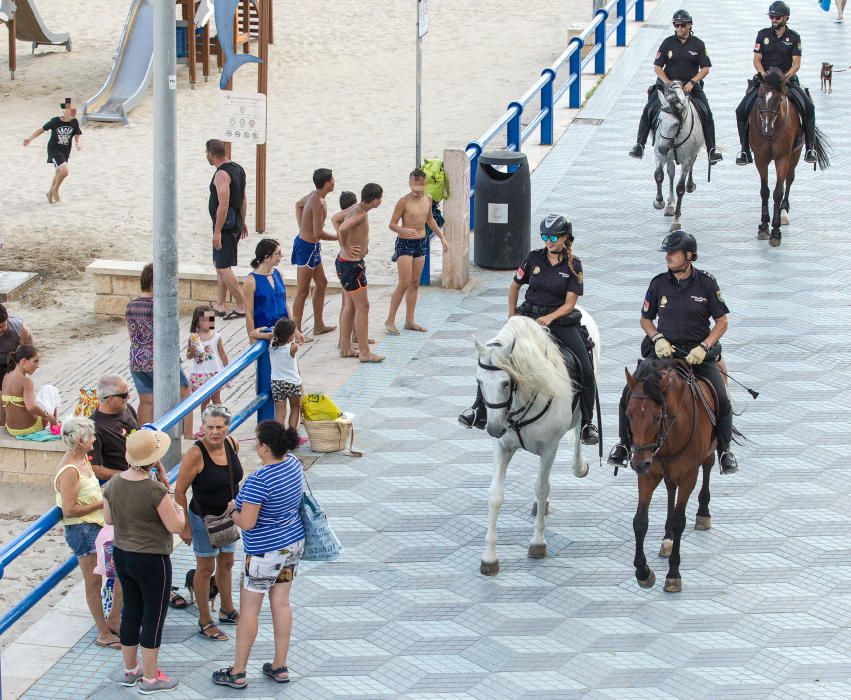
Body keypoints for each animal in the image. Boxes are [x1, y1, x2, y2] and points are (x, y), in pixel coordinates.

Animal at [476, 312, 604, 576]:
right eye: (480, 382)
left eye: (505, 383)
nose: (493, 428)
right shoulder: (502, 447)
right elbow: (495, 495)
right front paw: (490, 558)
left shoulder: (549, 448)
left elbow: (542, 487)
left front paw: (537, 543)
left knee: (579, 428)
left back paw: (581, 461)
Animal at [624, 358, 720, 592]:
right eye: (628, 414)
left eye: (657, 416)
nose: (638, 463)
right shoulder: (648, 474)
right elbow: (640, 521)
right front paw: (643, 572)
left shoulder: (688, 476)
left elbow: (679, 521)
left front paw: (673, 574)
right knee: (669, 488)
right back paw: (667, 538)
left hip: (708, 453)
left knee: (708, 466)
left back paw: (703, 513)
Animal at [652, 79, 704, 232]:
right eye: (660, 119)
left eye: (675, 124)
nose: (663, 148)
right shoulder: (659, 155)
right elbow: (659, 175)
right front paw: (659, 202)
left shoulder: (686, 160)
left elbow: (680, 188)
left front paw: (676, 222)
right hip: (668, 157)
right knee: (670, 172)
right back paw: (670, 205)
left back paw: (690, 185)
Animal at [752, 68, 832, 247]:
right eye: (760, 96)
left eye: (779, 99)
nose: (766, 128)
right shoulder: (760, 158)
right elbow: (764, 191)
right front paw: (763, 226)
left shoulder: (783, 158)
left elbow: (778, 192)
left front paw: (775, 231)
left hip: (795, 154)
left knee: (789, 180)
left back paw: (783, 212)